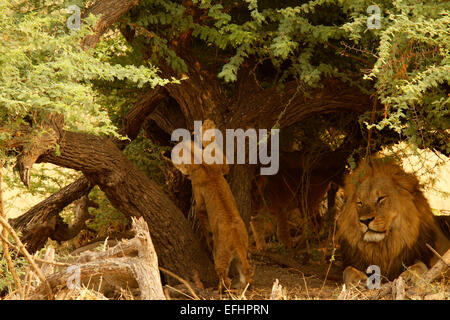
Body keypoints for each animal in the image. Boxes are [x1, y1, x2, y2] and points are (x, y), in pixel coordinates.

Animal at [170, 120, 253, 292]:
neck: (199, 161)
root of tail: (236, 239)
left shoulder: (199, 198)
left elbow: (202, 215)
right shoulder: (221, 165)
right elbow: (212, 145)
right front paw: (208, 125)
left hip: (220, 256)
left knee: (225, 277)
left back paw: (220, 288)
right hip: (243, 251)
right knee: (246, 272)